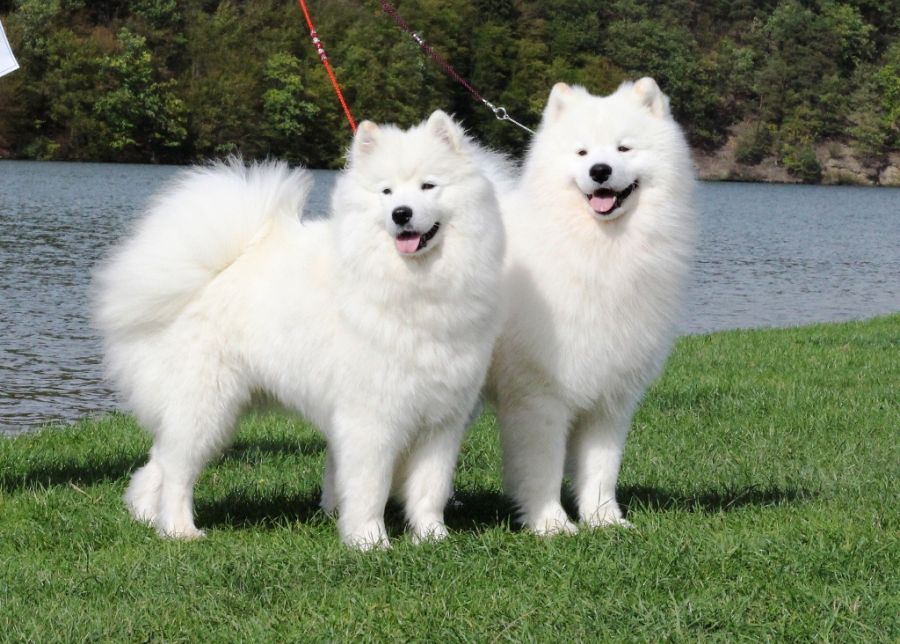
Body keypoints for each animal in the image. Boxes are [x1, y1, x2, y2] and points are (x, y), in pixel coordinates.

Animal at [98, 112, 510, 548]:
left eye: (428, 186)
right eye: (386, 191)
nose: (401, 213)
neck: (414, 287)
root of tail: (210, 275)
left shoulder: (442, 420)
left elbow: (430, 488)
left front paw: (433, 538)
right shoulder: (371, 417)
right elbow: (370, 487)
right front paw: (370, 542)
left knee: (158, 462)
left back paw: (148, 516)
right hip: (206, 404)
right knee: (178, 469)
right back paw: (180, 529)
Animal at [488, 79, 692, 532]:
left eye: (623, 148)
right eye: (582, 153)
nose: (600, 171)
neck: (598, 249)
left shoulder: (610, 395)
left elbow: (601, 468)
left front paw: (604, 520)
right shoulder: (540, 395)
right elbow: (543, 468)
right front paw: (551, 525)